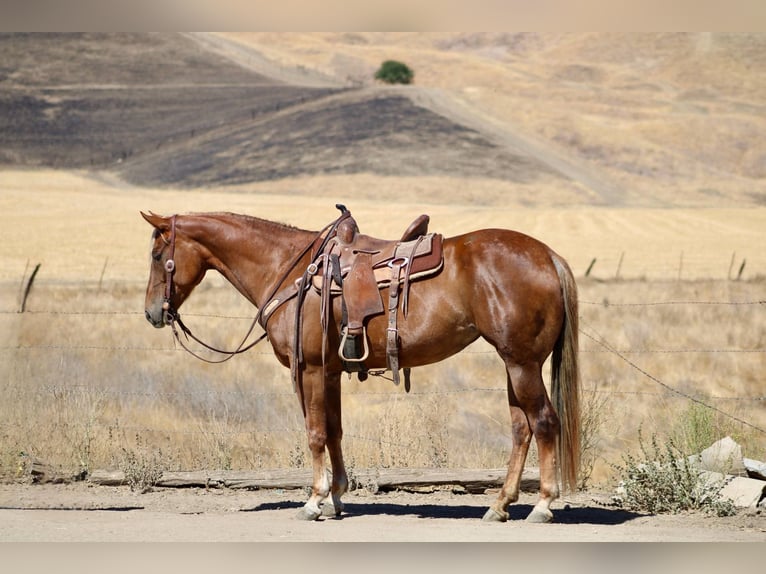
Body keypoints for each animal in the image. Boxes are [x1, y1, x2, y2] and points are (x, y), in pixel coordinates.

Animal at [141, 208, 580, 523]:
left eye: (159, 256)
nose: (152, 314)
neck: (289, 269)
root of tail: (549, 256)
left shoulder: (309, 370)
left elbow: (315, 433)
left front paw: (314, 500)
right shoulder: (330, 371)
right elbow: (335, 431)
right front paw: (336, 496)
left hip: (522, 363)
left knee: (544, 423)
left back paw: (542, 506)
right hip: (514, 364)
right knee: (521, 428)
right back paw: (500, 505)